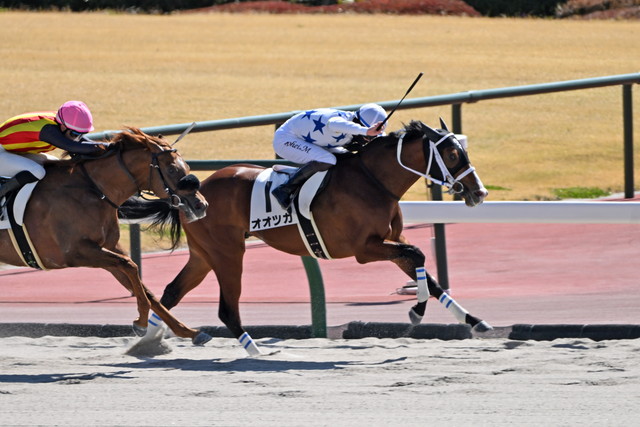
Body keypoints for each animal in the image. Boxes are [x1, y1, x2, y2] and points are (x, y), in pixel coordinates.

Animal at [0, 127, 212, 345]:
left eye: (187, 166)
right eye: (171, 169)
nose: (201, 205)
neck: (95, 191)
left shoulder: (106, 249)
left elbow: (142, 286)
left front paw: (188, 331)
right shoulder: (75, 253)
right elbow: (131, 265)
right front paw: (141, 322)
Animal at [123, 119, 491, 354]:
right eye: (453, 155)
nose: (480, 193)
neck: (372, 180)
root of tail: (191, 191)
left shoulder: (390, 242)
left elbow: (428, 274)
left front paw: (474, 321)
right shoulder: (365, 248)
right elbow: (417, 253)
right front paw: (416, 311)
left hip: (203, 254)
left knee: (171, 292)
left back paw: (146, 343)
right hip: (228, 254)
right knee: (226, 309)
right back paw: (254, 351)